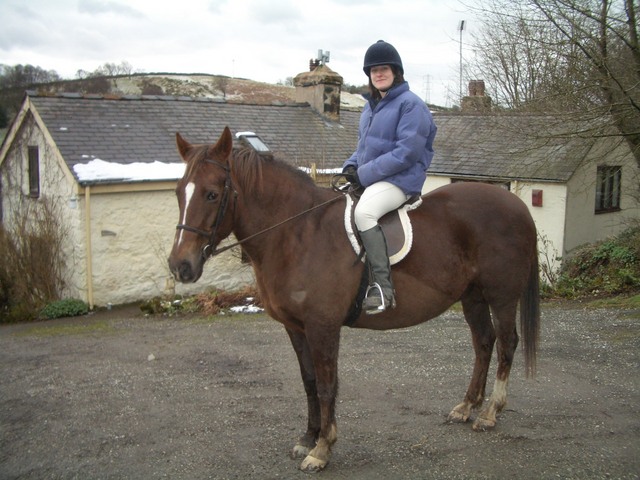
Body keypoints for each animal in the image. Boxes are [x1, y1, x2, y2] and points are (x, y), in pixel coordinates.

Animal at [168, 126, 536, 472]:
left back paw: (490, 413)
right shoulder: (296, 327)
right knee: (484, 342)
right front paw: (308, 437)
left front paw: (322, 449)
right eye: (178, 192)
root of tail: (517, 205)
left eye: (212, 194)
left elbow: (327, 384)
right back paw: (467, 406)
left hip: (501, 296)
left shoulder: (323, 326)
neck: (297, 232)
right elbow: (309, 381)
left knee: (506, 343)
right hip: (472, 297)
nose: (180, 266)